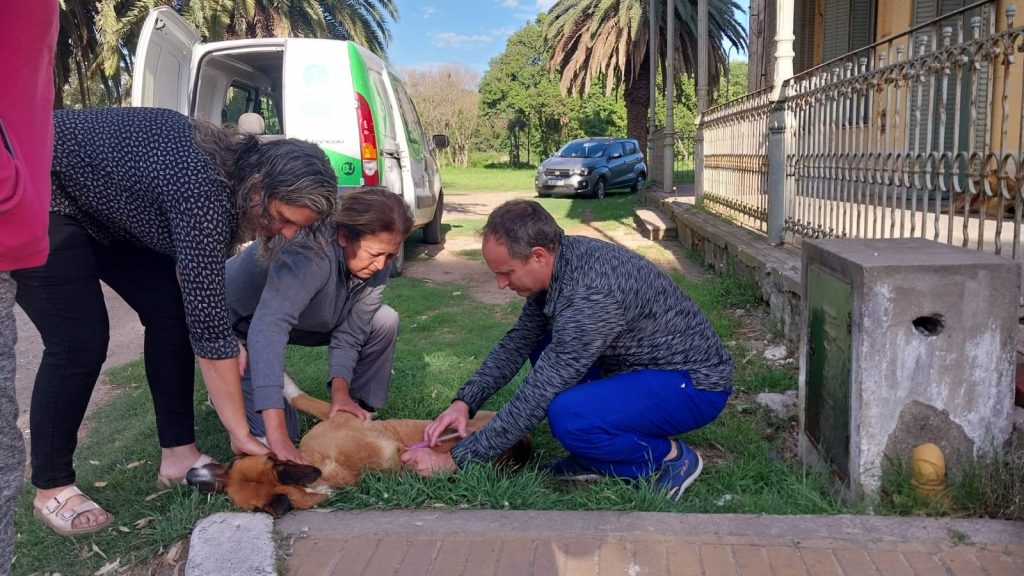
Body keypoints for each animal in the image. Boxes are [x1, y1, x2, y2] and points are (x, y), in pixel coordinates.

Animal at [187, 377, 532, 516]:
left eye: (233, 463)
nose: (190, 477)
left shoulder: (338, 413)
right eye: (225, 490)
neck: (320, 473)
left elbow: (297, 397)